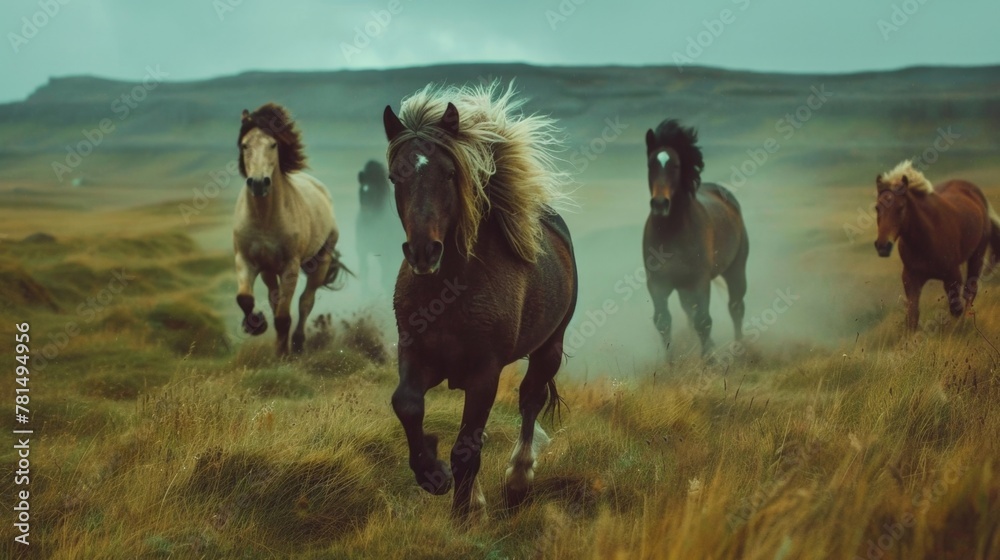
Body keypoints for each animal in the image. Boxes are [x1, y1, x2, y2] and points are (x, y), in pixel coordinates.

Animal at [233, 103, 349, 356]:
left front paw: (282, 355)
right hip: (268, 271)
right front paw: (255, 325)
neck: (264, 218)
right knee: (274, 298)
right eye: (245, 145)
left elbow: (284, 317)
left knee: (306, 302)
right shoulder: (245, 260)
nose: (259, 183)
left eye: (273, 144)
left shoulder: (290, 267)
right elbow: (244, 298)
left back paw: (297, 343)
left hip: (321, 261)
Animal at [355, 160, 403, 297]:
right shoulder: (362, 250)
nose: (366, 218)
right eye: (361, 191)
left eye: (376, 192)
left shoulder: (387, 251)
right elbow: (364, 272)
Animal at [382, 81, 578, 522]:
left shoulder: (484, 374)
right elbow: (406, 404)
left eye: (449, 173)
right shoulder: (415, 354)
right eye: (394, 176)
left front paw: (462, 514)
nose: (424, 252)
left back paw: (518, 480)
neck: (448, 291)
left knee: (530, 400)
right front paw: (431, 472)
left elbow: (466, 451)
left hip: (549, 347)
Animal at [643, 120, 749, 360]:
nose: (660, 204)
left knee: (736, 307)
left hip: (735, 270)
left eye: (675, 165)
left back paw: (739, 349)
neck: (671, 234)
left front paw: (709, 360)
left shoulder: (699, 281)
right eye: (651, 165)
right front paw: (672, 363)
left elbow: (703, 320)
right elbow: (663, 321)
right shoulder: (657, 283)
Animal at [874, 160, 1000, 330]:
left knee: (970, 292)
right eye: (877, 207)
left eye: (901, 207)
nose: (882, 246)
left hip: (977, 255)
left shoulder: (953, 277)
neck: (926, 241)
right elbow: (912, 315)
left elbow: (956, 308)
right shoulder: (910, 278)